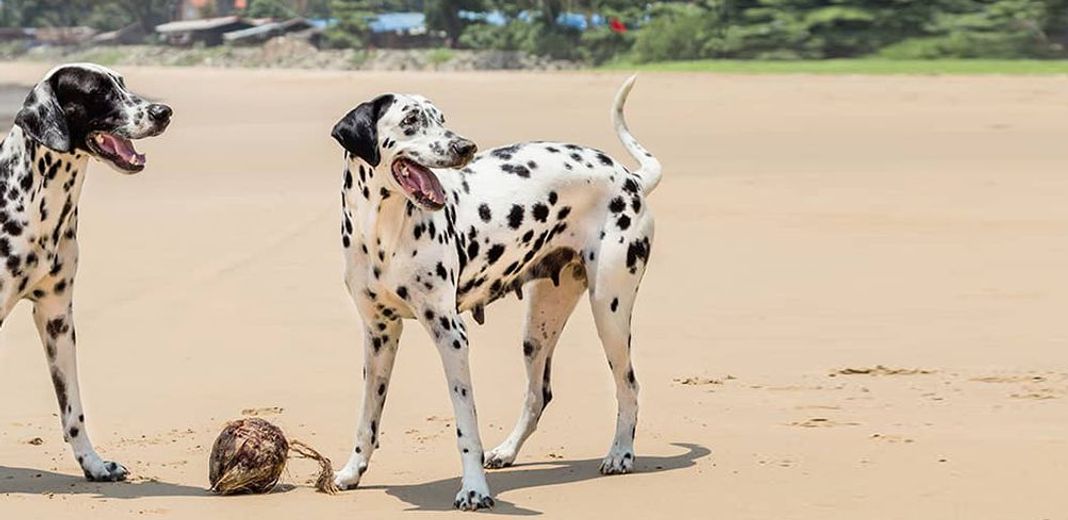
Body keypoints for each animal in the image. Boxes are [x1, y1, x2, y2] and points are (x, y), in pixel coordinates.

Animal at [0, 62, 173, 482]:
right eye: (98, 92)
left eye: (123, 84)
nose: (163, 112)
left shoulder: (57, 318)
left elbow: (72, 409)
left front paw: (94, 464)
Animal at [328, 77, 653, 512]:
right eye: (411, 120)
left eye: (441, 118)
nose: (465, 146)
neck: (383, 231)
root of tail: (628, 176)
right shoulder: (379, 335)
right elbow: (368, 418)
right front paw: (352, 471)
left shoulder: (451, 336)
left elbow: (466, 426)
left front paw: (473, 489)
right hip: (538, 327)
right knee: (537, 395)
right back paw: (507, 451)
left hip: (609, 312)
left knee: (628, 386)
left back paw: (620, 453)